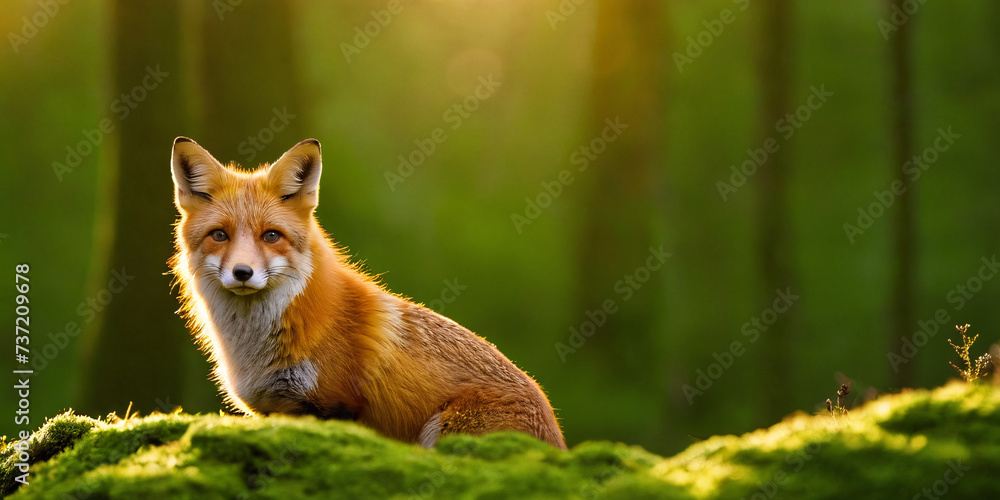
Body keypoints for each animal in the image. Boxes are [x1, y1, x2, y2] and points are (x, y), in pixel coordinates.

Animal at [168, 137, 566, 449]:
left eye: (271, 235)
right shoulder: (275, 412)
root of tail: (557, 435)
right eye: (220, 235)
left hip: (442, 427)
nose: (243, 273)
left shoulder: (336, 406)